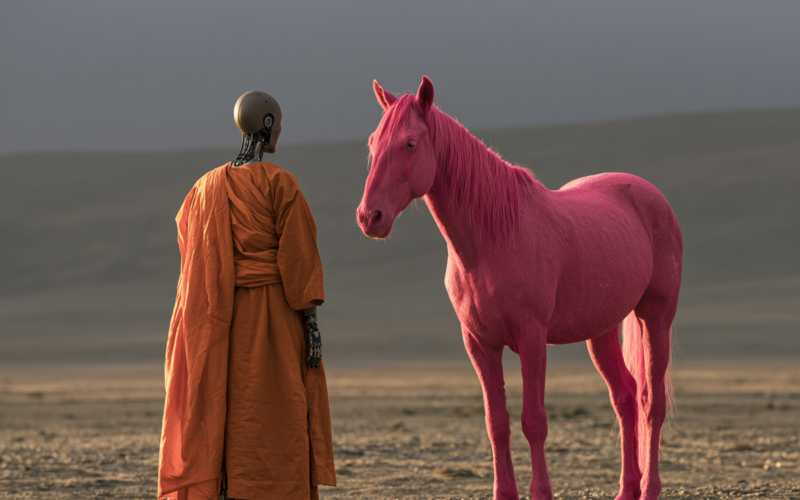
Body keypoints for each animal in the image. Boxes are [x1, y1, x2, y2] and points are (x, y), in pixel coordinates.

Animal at [356, 76, 682, 500]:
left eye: (410, 143)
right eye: (372, 143)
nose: (369, 217)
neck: (491, 241)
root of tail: (649, 193)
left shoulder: (531, 338)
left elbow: (534, 421)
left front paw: (541, 491)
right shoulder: (479, 343)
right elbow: (497, 422)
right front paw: (503, 491)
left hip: (655, 317)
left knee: (651, 403)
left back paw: (649, 488)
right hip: (602, 330)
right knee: (625, 398)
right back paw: (627, 489)